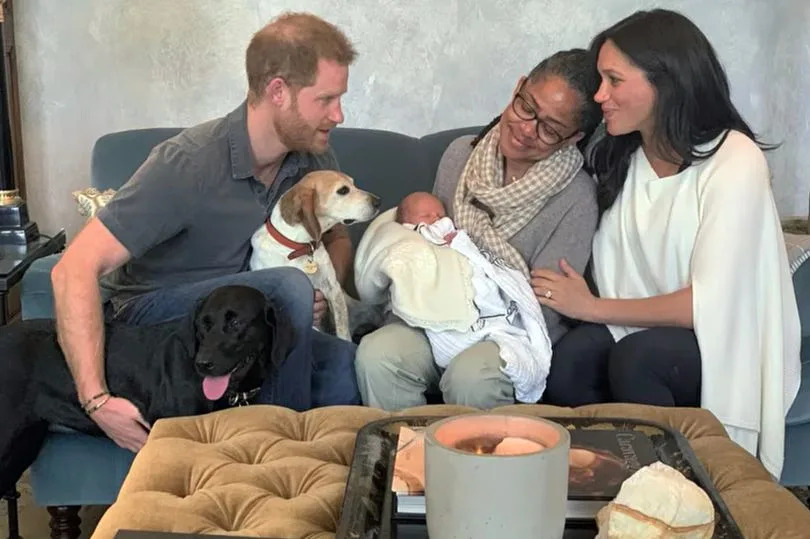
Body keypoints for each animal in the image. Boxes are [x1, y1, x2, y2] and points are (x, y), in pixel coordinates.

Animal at [248, 171, 380, 342]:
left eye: (353, 183)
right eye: (343, 190)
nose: (379, 202)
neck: (301, 248)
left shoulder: (333, 289)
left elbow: (343, 332)